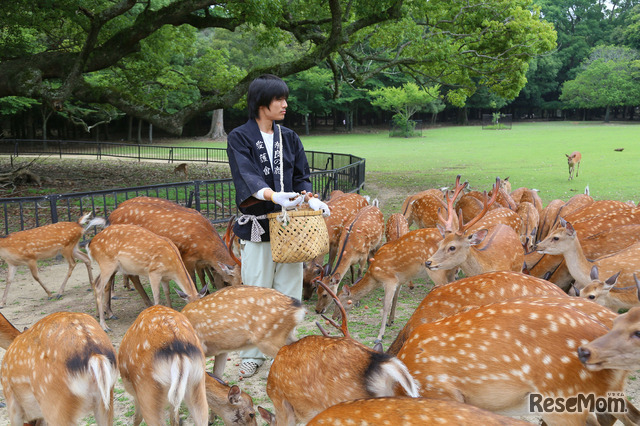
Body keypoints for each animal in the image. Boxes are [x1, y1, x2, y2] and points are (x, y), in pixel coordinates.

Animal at [119, 304, 254, 424]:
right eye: (251, 414)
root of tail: (178, 350)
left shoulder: (136, 394)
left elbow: (137, 417)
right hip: (196, 386)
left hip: (146, 391)